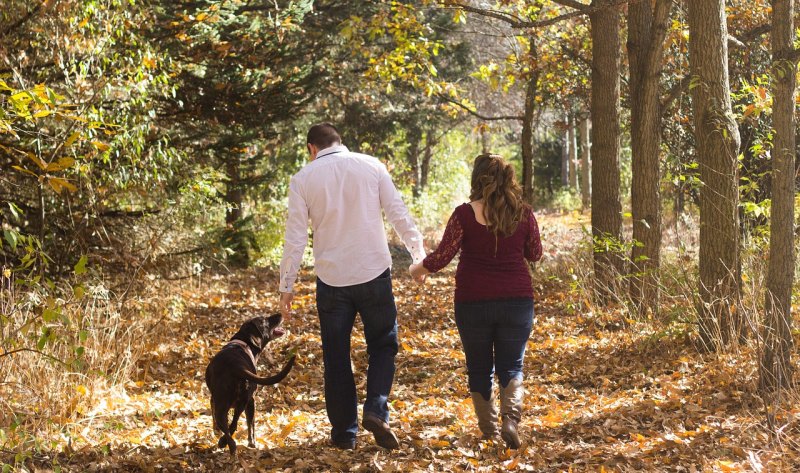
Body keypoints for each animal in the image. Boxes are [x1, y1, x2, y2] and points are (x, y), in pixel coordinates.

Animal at [205, 314, 296, 454]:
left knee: (228, 427)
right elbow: (251, 424)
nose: (280, 314)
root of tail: (236, 366)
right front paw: (252, 443)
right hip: (245, 402)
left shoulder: (213, 400)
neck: (244, 342)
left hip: (224, 405)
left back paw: (224, 444)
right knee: (234, 425)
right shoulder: (251, 401)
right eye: (265, 320)